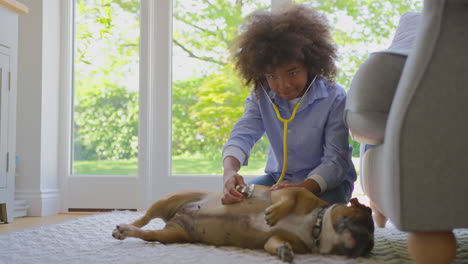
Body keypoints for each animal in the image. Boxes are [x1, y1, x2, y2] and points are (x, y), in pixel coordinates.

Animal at [111, 186, 374, 262]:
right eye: (365, 221)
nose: (368, 245)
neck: (317, 225)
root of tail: (177, 216)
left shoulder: (281, 238)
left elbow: (274, 242)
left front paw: (283, 251)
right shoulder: (287, 191)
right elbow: (286, 200)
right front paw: (274, 213)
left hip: (173, 235)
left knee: (148, 233)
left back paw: (128, 230)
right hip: (170, 199)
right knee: (144, 218)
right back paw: (123, 227)